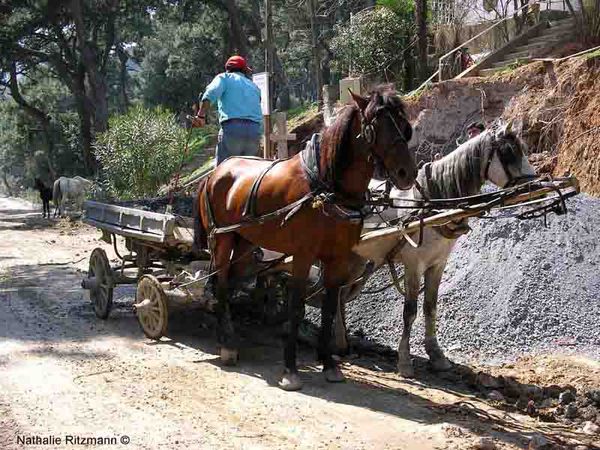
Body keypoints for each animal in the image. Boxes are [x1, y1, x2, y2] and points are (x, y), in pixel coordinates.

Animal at [195, 87, 414, 390]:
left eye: (405, 127)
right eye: (375, 126)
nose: (407, 173)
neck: (324, 186)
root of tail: (215, 173)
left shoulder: (338, 258)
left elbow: (330, 307)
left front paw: (330, 363)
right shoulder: (302, 255)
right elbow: (296, 307)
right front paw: (290, 369)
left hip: (244, 242)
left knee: (228, 281)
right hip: (221, 240)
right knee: (223, 283)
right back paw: (227, 344)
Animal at [342, 124, 536, 376]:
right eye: (508, 152)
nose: (536, 183)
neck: (430, 207)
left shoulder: (438, 264)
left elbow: (430, 308)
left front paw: (436, 355)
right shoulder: (414, 265)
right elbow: (410, 311)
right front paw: (404, 361)